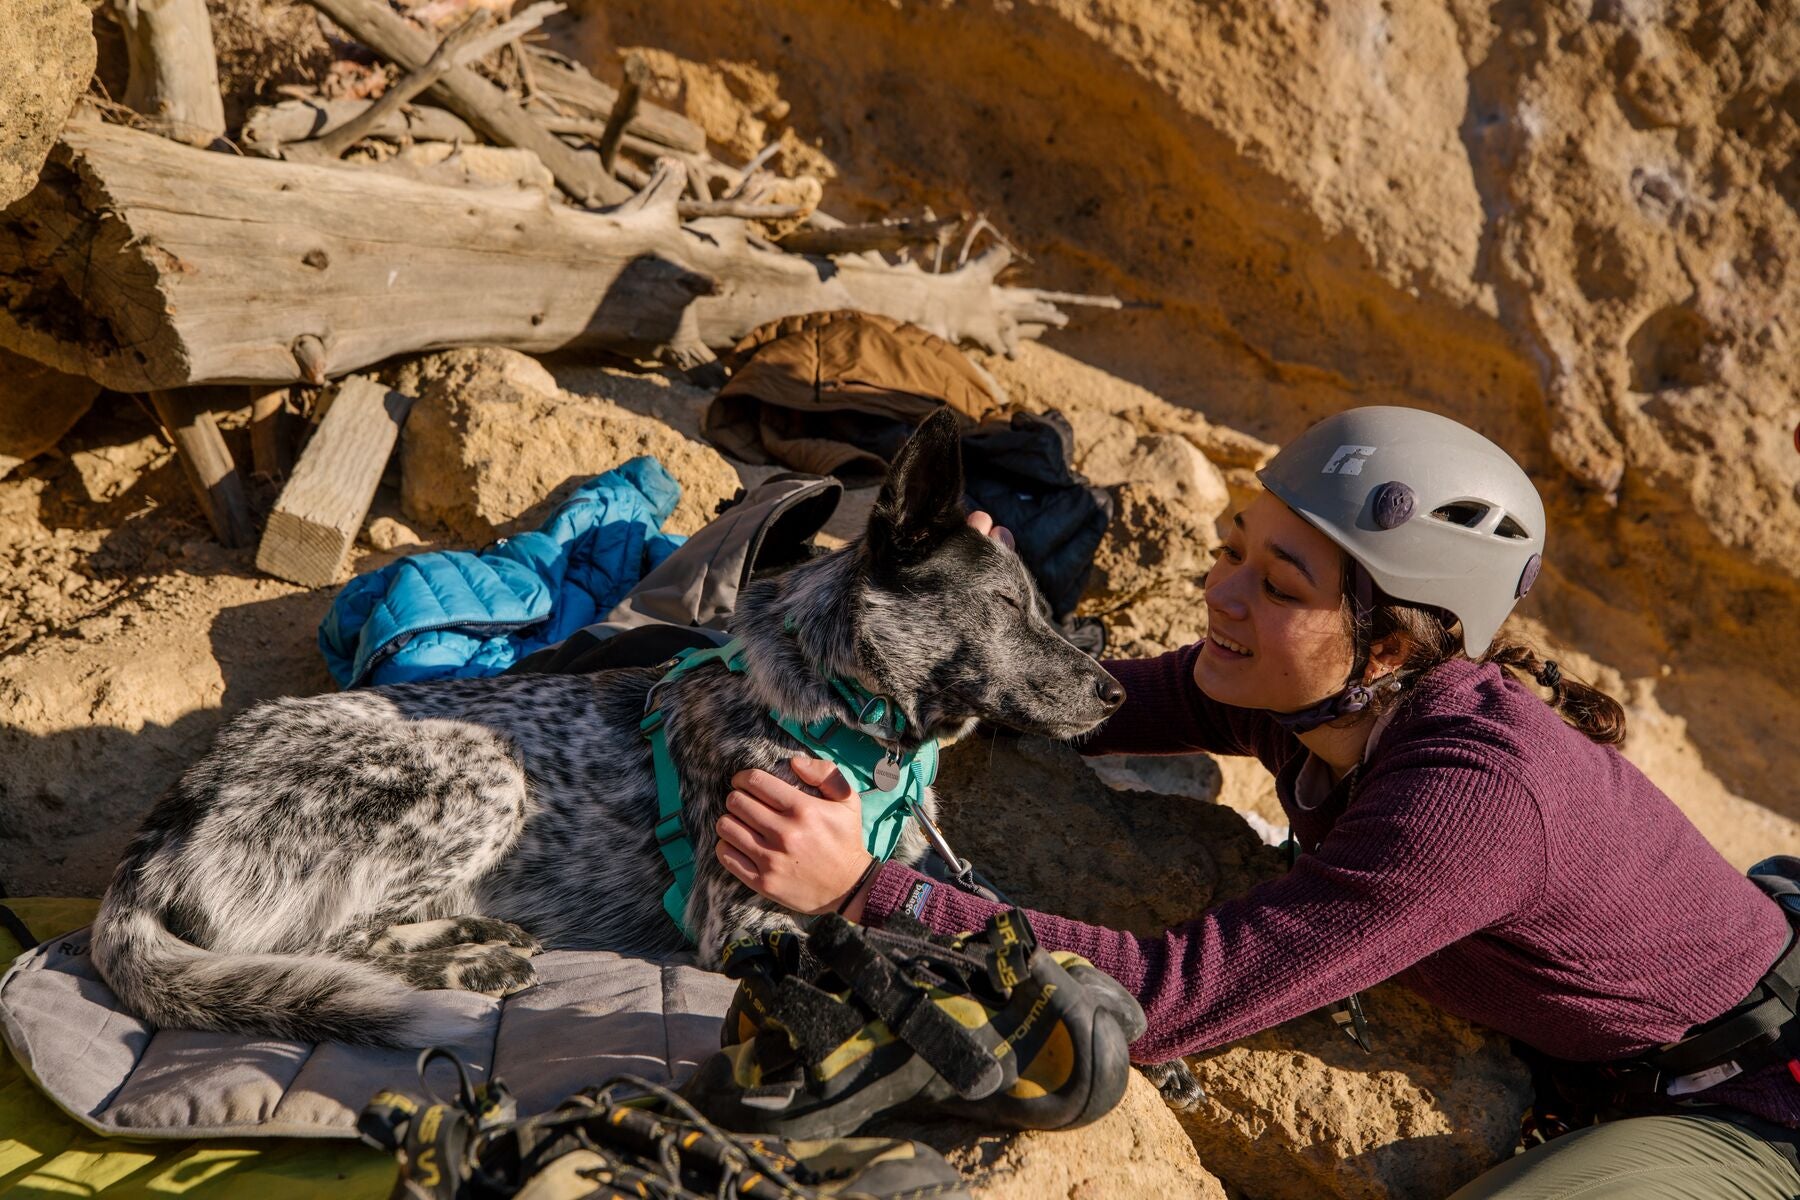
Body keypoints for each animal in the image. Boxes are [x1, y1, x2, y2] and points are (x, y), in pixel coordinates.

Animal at [90, 408, 1125, 1046]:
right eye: (1004, 607)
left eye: (1044, 606)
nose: (1115, 693)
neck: (845, 721)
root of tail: (166, 822)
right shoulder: (744, 927)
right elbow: (899, 941)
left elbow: (948, 913)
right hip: (481, 768)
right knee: (305, 945)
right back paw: (469, 963)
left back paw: (475, 935)